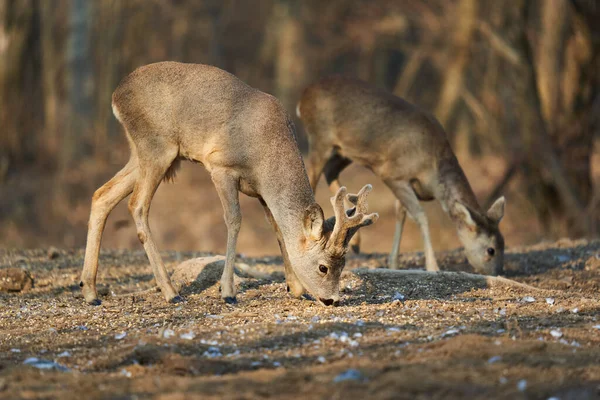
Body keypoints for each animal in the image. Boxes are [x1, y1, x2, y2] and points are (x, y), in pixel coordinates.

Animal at [79, 62, 378, 306]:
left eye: (344, 264)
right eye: (323, 267)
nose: (332, 300)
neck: (266, 153)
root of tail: (116, 95)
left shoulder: (262, 192)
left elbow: (278, 229)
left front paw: (295, 287)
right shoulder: (221, 166)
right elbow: (234, 220)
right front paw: (228, 291)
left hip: (146, 154)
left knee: (101, 195)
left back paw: (90, 291)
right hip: (157, 146)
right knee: (137, 205)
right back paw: (171, 291)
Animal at [298, 75, 504, 276]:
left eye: (503, 244)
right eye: (491, 250)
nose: (498, 273)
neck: (433, 171)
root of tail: (304, 96)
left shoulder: (406, 183)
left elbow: (401, 214)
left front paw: (393, 263)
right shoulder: (393, 173)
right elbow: (420, 215)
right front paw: (433, 266)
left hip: (345, 152)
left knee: (331, 172)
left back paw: (355, 239)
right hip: (320, 139)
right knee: (312, 178)